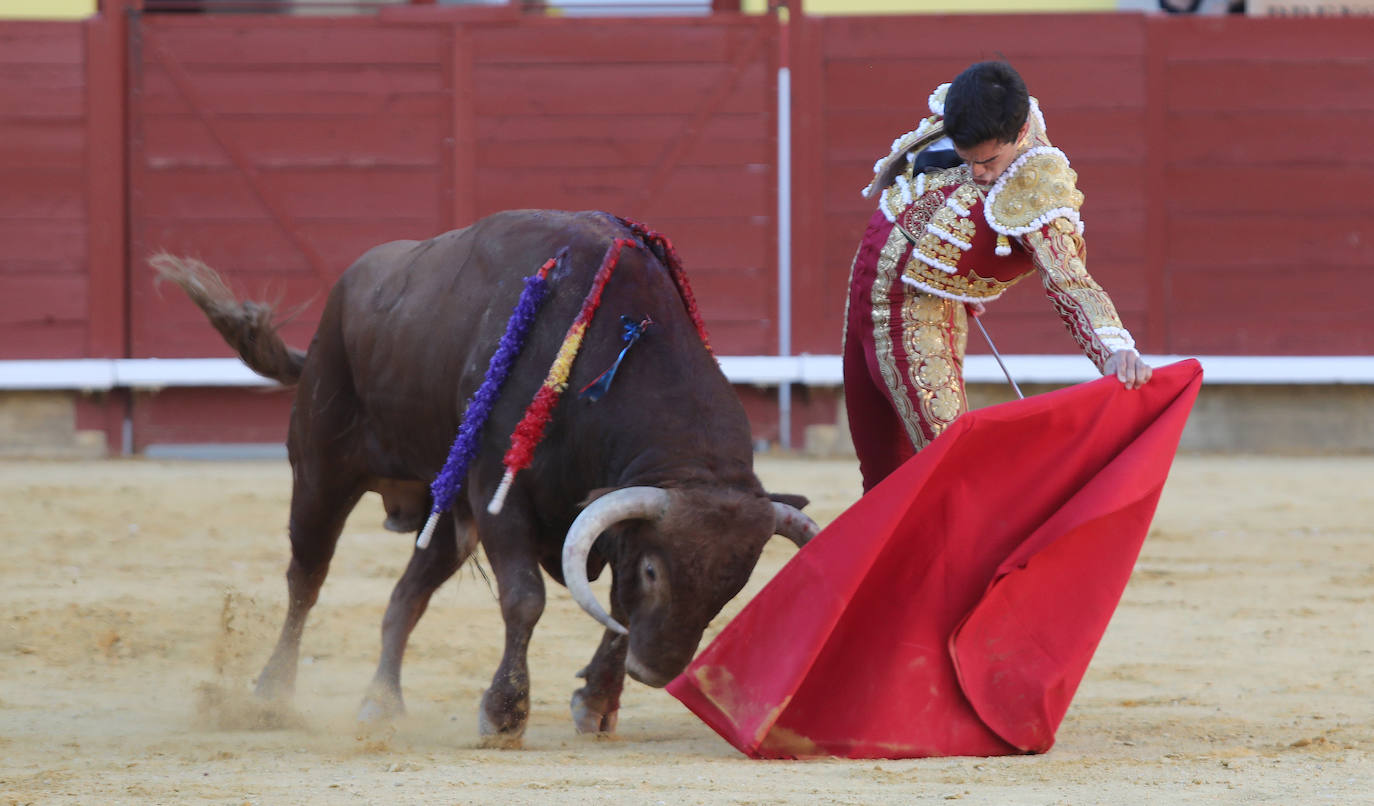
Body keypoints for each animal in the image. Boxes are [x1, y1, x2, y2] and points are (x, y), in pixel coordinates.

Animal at [153, 208, 813, 746]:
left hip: (445, 513)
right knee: (306, 579)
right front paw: (503, 716)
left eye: (735, 584)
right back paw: (270, 696)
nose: (657, 670)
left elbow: (614, 607)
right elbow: (525, 598)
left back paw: (380, 703)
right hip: (320, 471)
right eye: (655, 570)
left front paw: (595, 702)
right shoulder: (501, 493)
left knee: (405, 597)